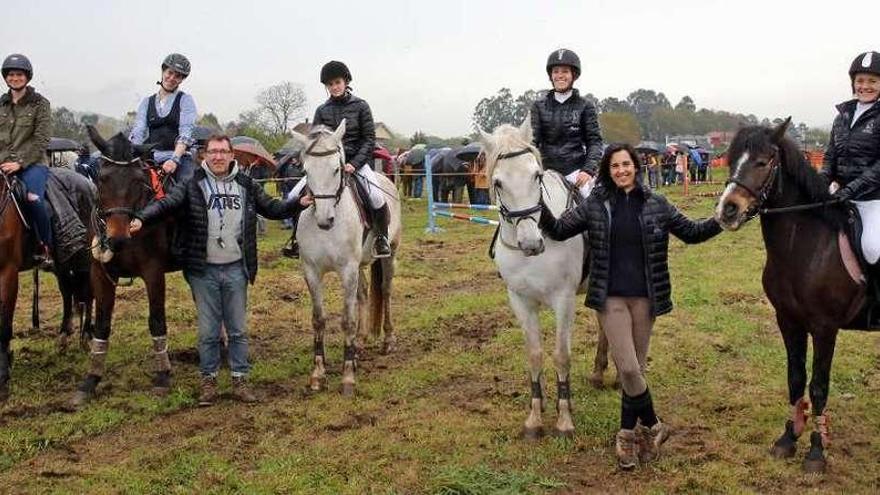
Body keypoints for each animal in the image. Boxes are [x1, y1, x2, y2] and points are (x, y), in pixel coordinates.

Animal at [72, 127, 177, 406]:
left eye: (138, 180)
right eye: (102, 179)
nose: (117, 238)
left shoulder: (153, 272)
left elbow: (156, 321)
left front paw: (162, 376)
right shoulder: (101, 274)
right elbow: (102, 324)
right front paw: (90, 380)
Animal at [290, 122, 400, 398]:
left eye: (337, 169)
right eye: (305, 170)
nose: (324, 220)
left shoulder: (347, 270)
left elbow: (347, 321)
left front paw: (348, 377)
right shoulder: (311, 271)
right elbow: (318, 319)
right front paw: (318, 374)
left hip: (389, 254)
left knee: (385, 290)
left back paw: (388, 341)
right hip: (359, 265)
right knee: (363, 293)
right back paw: (359, 344)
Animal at [478, 119, 588, 438]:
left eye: (536, 175)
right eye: (498, 183)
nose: (530, 243)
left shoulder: (564, 299)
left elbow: (561, 355)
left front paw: (564, 420)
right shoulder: (521, 301)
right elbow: (535, 355)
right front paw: (535, 418)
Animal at [720, 119, 868, 472]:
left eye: (763, 162)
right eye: (730, 160)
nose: (727, 210)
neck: (805, 245)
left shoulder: (825, 328)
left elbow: (818, 387)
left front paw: (816, 450)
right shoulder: (788, 321)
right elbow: (795, 378)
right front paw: (789, 437)